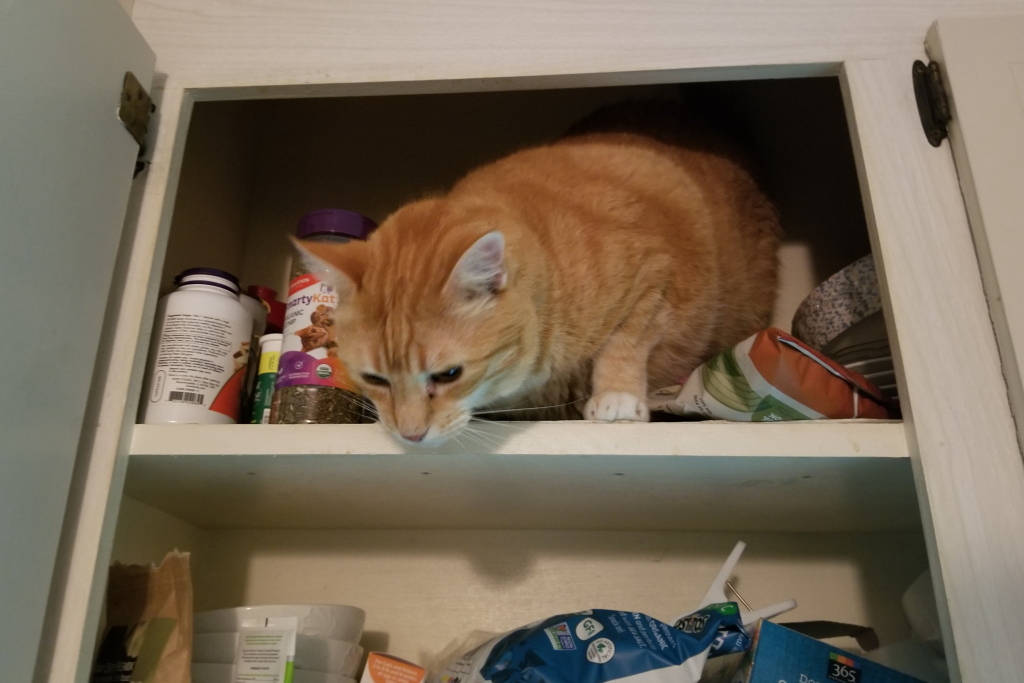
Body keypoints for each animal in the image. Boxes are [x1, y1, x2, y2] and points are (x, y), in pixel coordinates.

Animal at [299, 105, 781, 446]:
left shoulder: (657, 276)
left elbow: (626, 341)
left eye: (449, 375)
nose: (410, 436)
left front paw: (617, 397)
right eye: (375, 379)